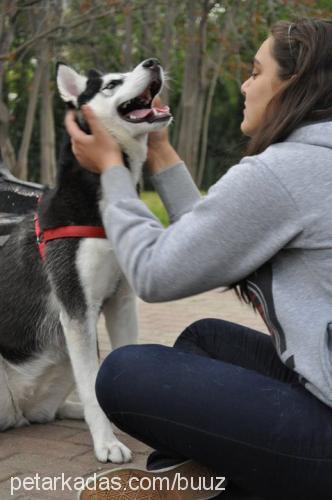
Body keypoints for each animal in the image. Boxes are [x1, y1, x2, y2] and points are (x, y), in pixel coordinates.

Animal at [0, 59, 171, 464]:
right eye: (112, 84)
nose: (153, 62)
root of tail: (18, 412)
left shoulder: (121, 303)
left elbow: (107, 374)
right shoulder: (76, 307)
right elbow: (93, 385)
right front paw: (107, 443)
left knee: (50, 410)